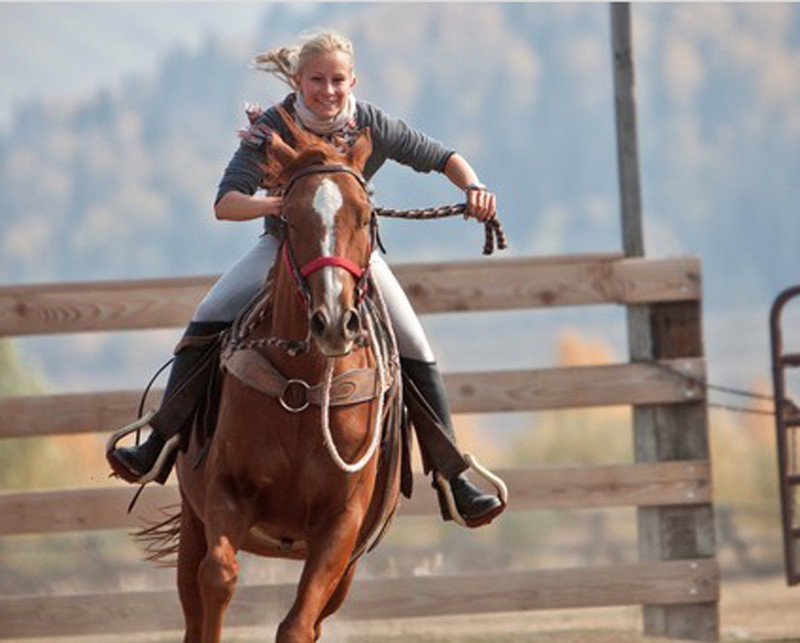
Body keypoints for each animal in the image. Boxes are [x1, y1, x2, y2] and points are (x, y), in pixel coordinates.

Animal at [170, 113, 406, 640]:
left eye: (365, 216)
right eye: (291, 218)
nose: (334, 321)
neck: (304, 386)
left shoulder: (341, 525)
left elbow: (298, 623)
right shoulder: (225, 492)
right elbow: (218, 577)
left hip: (347, 569)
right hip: (192, 523)